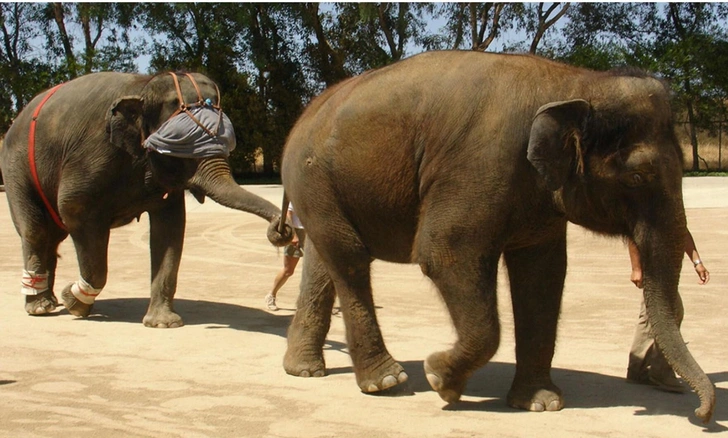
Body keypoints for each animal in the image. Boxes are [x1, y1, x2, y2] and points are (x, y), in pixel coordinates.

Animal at [0, 70, 290, 326]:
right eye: (184, 147)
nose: (280, 229)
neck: (145, 85)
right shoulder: (91, 153)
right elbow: (74, 208)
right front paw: (75, 302)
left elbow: (170, 227)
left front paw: (163, 323)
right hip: (16, 167)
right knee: (36, 230)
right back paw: (40, 307)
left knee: (52, 234)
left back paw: (48, 301)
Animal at [272, 51, 716, 424]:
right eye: (637, 177)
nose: (701, 415)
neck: (574, 82)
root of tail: (302, 119)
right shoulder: (479, 165)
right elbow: (444, 252)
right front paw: (439, 379)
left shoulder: (538, 199)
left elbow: (543, 274)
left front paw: (540, 404)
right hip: (313, 176)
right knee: (350, 258)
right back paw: (386, 383)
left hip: (320, 187)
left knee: (325, 260)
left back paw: (304, 370)